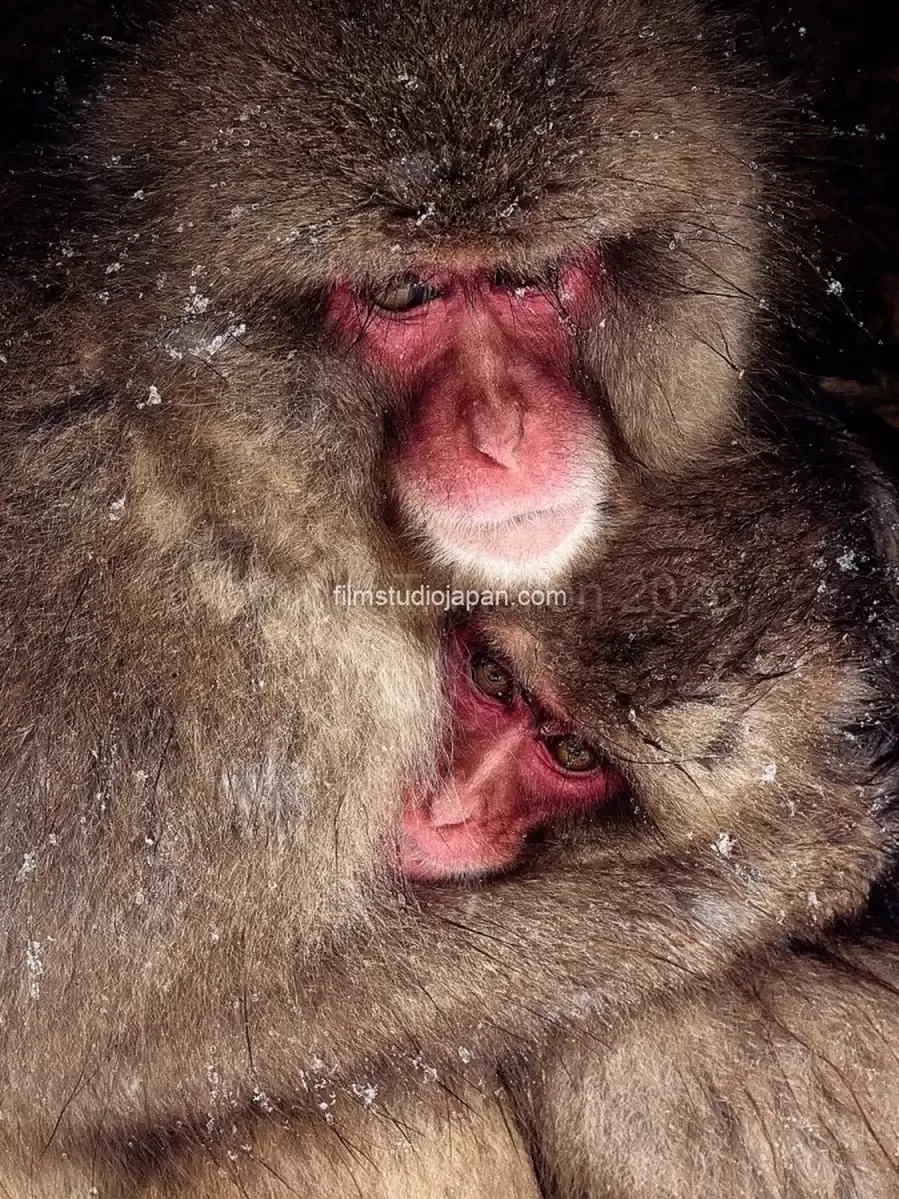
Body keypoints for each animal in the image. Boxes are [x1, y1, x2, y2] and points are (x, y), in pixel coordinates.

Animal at [0, 0, 871, 1192]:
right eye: (404, 292)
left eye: (528, 279)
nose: (504, 435)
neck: (197, 442)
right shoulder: (260, 709)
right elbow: (125, 1054)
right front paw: (789, 856)